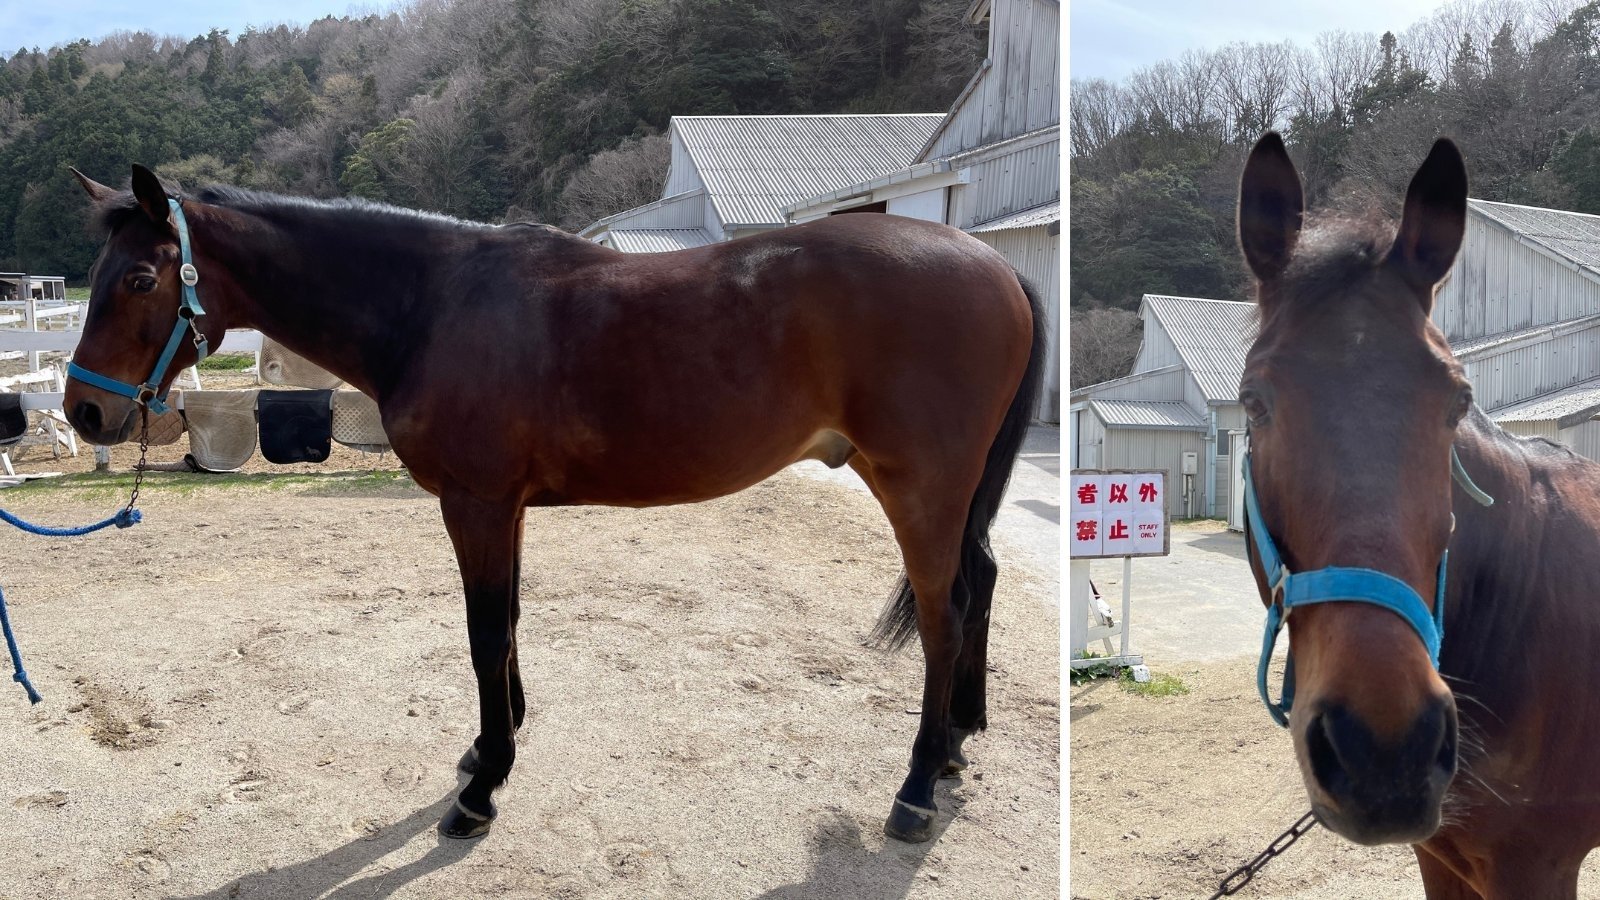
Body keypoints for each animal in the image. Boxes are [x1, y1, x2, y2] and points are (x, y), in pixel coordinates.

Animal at [62, 166, 1043, 839]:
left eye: (141, 280)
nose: (86, 411)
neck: (433, 304)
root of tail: (992, 266)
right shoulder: (510, 507)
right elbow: (510, 623)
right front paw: (493, 743)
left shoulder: (477, 503)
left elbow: (483, 633)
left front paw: (482, 785)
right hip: (952, 495)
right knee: (982, 583)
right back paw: (959, 744)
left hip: (918, 487)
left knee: (946, 612)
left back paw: (916, 787)